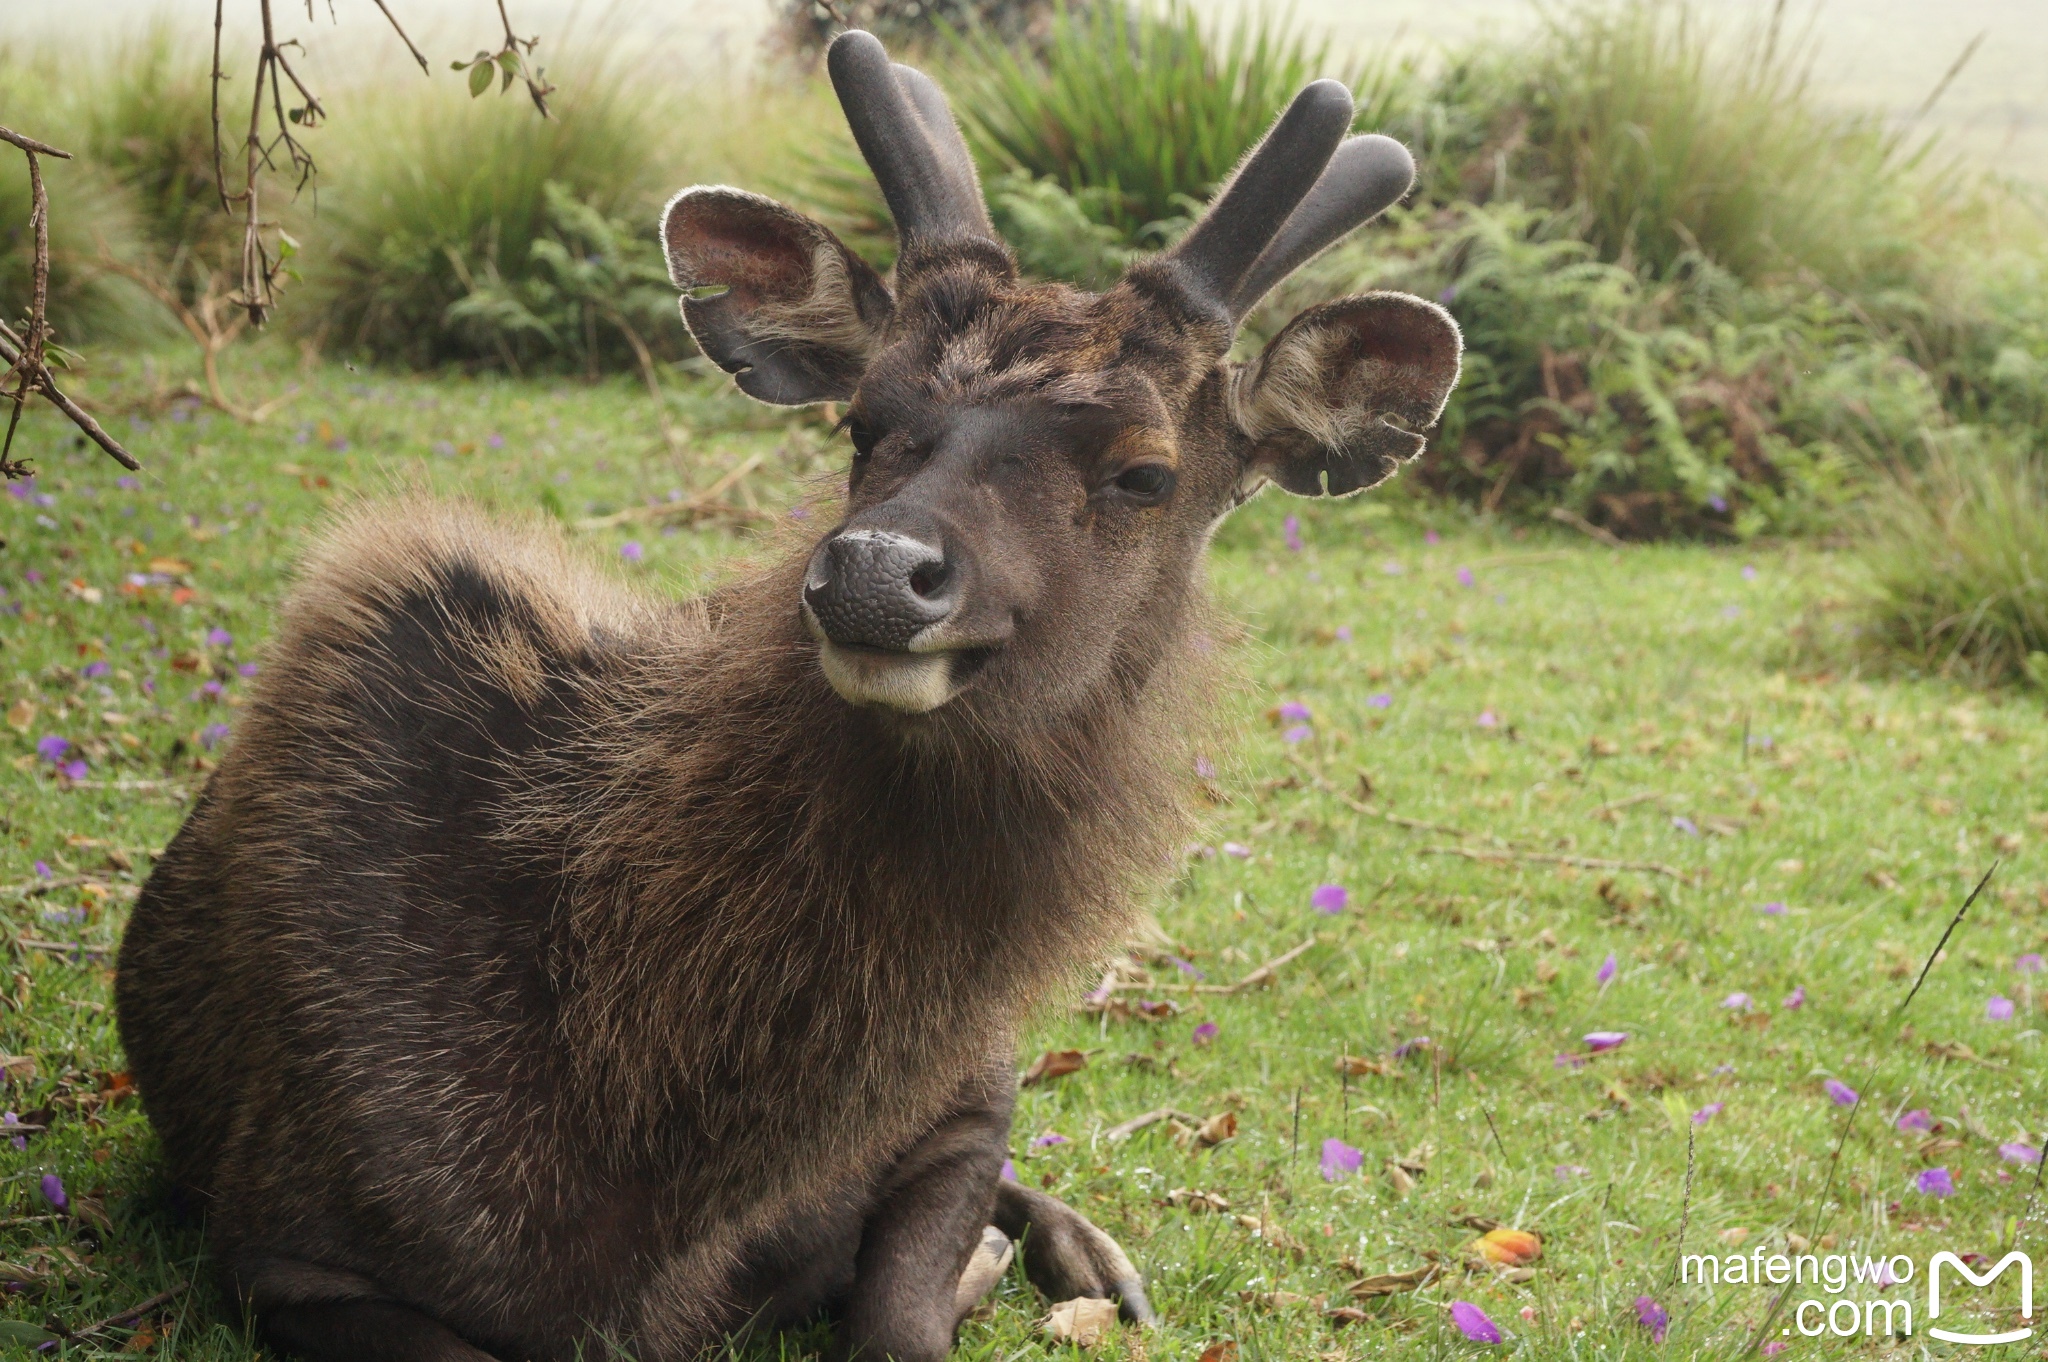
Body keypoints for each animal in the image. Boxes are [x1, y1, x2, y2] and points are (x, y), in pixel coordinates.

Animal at [116, 31, 1458, 1359]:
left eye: (1144, 471)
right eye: (861, 420)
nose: (872, 572)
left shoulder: (961, 1090)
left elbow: (910, 1293)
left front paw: (965, 1266)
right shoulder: (291, 1234)